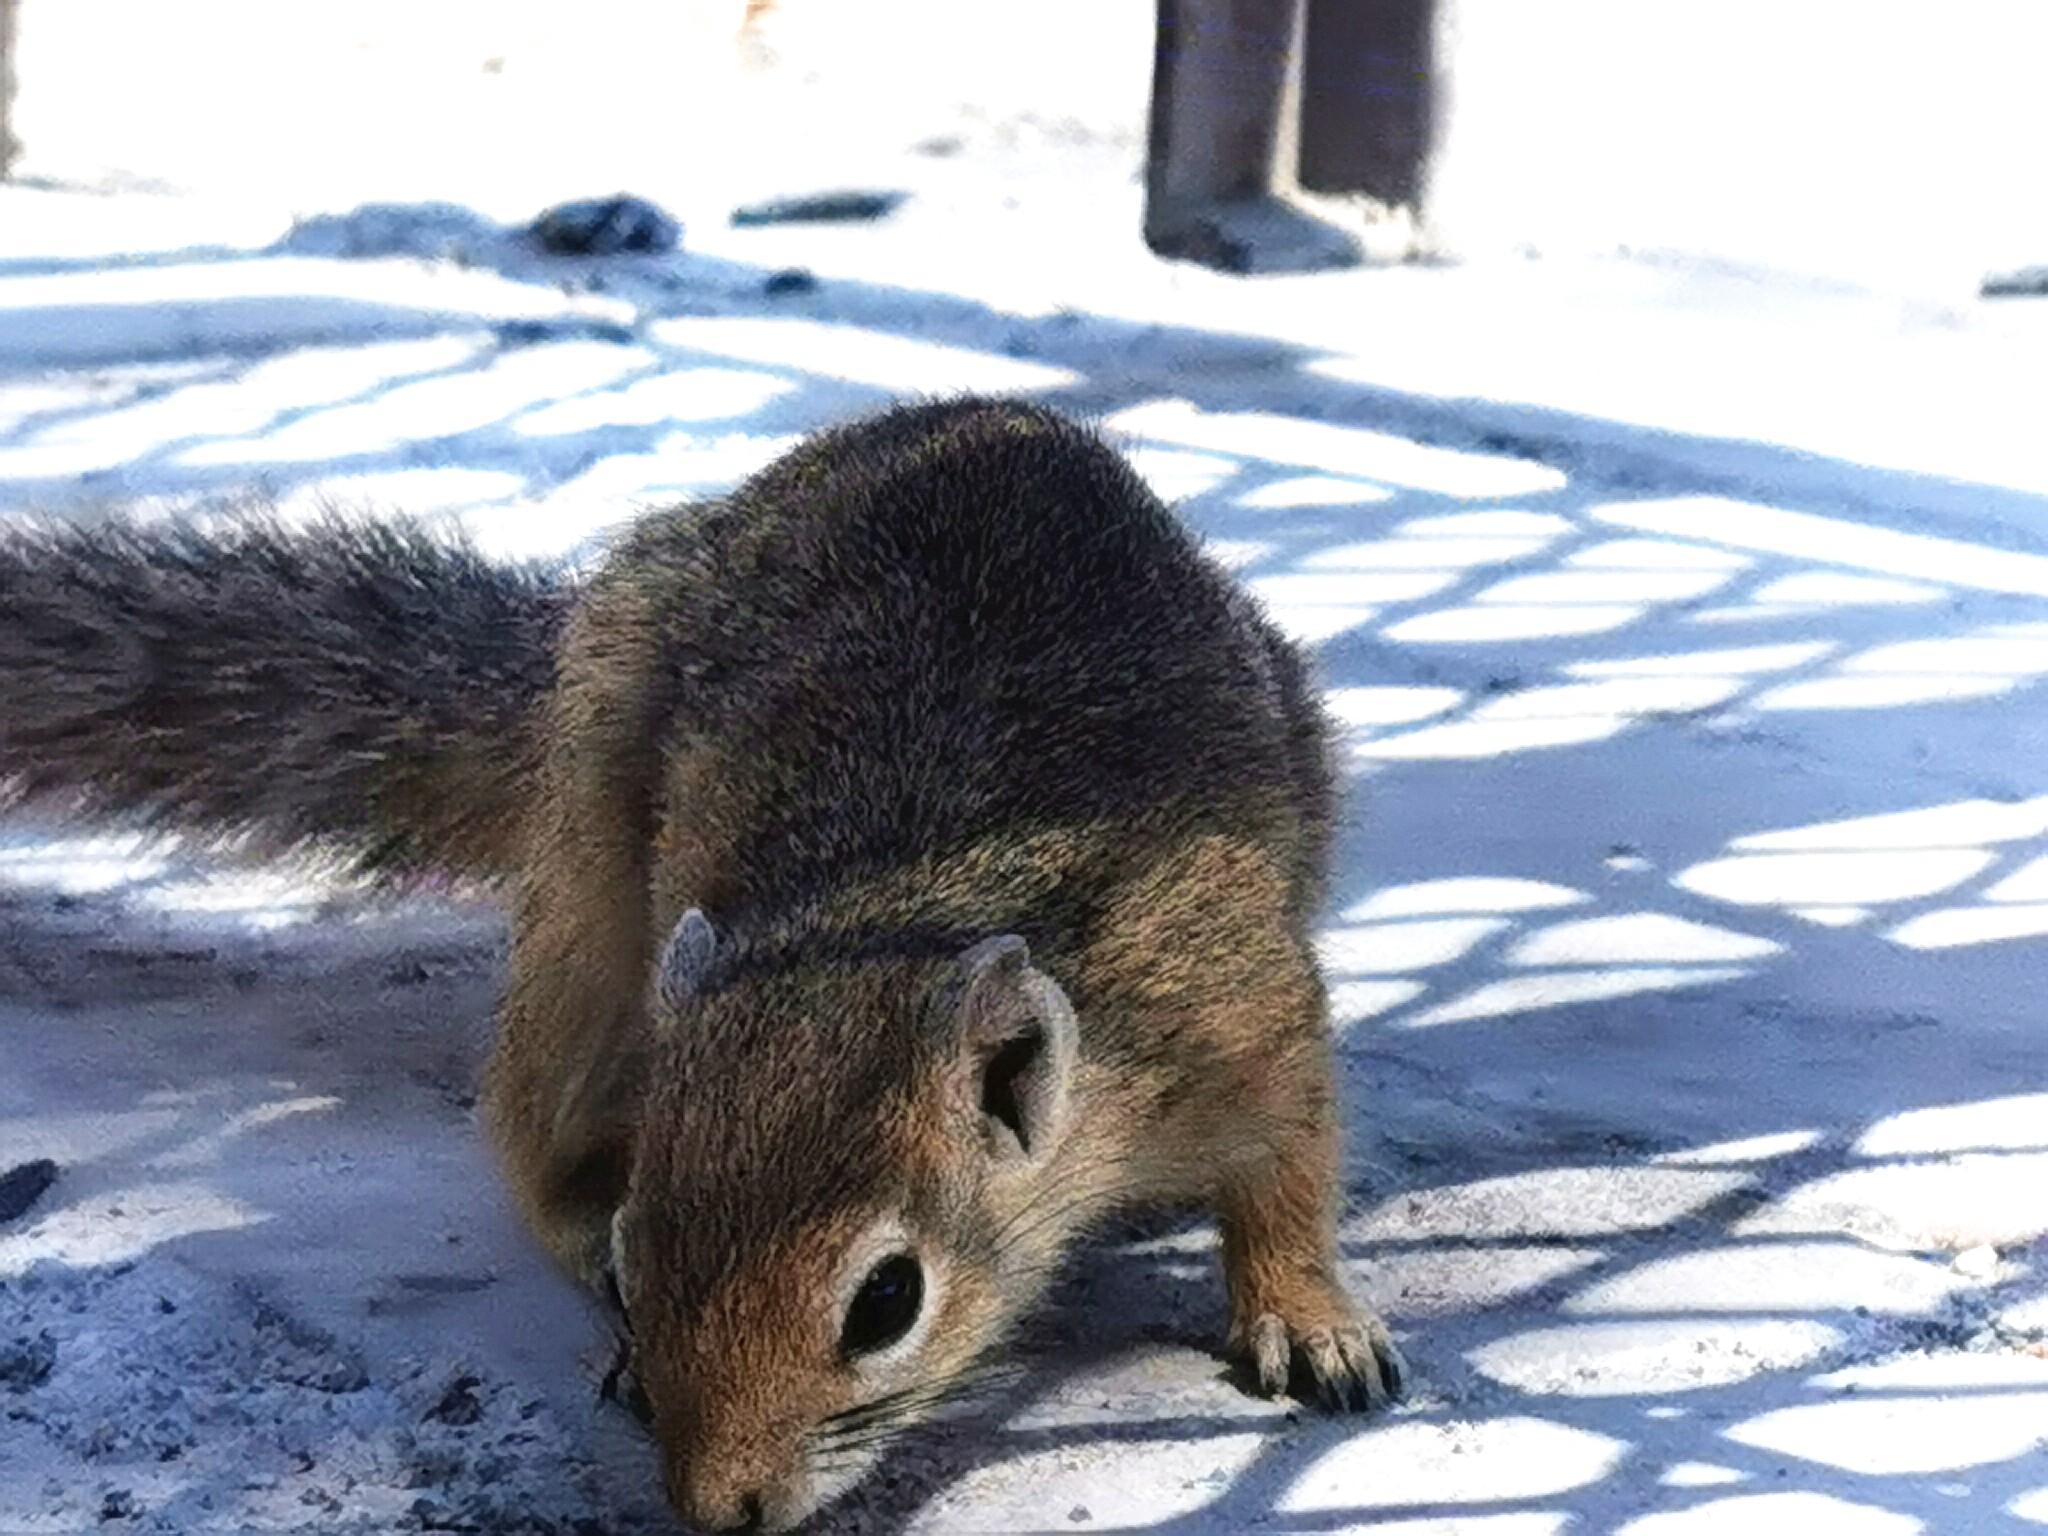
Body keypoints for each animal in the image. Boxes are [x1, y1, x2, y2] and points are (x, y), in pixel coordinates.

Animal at [0, 399, 1409, 1536]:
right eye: (638, 1265)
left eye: (885, 1301)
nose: (717, 1509)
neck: (888, 920)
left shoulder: (1238, 1002)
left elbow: (1290, 1167)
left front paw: (1311, 1322)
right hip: (587, 883)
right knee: (532, 1120)